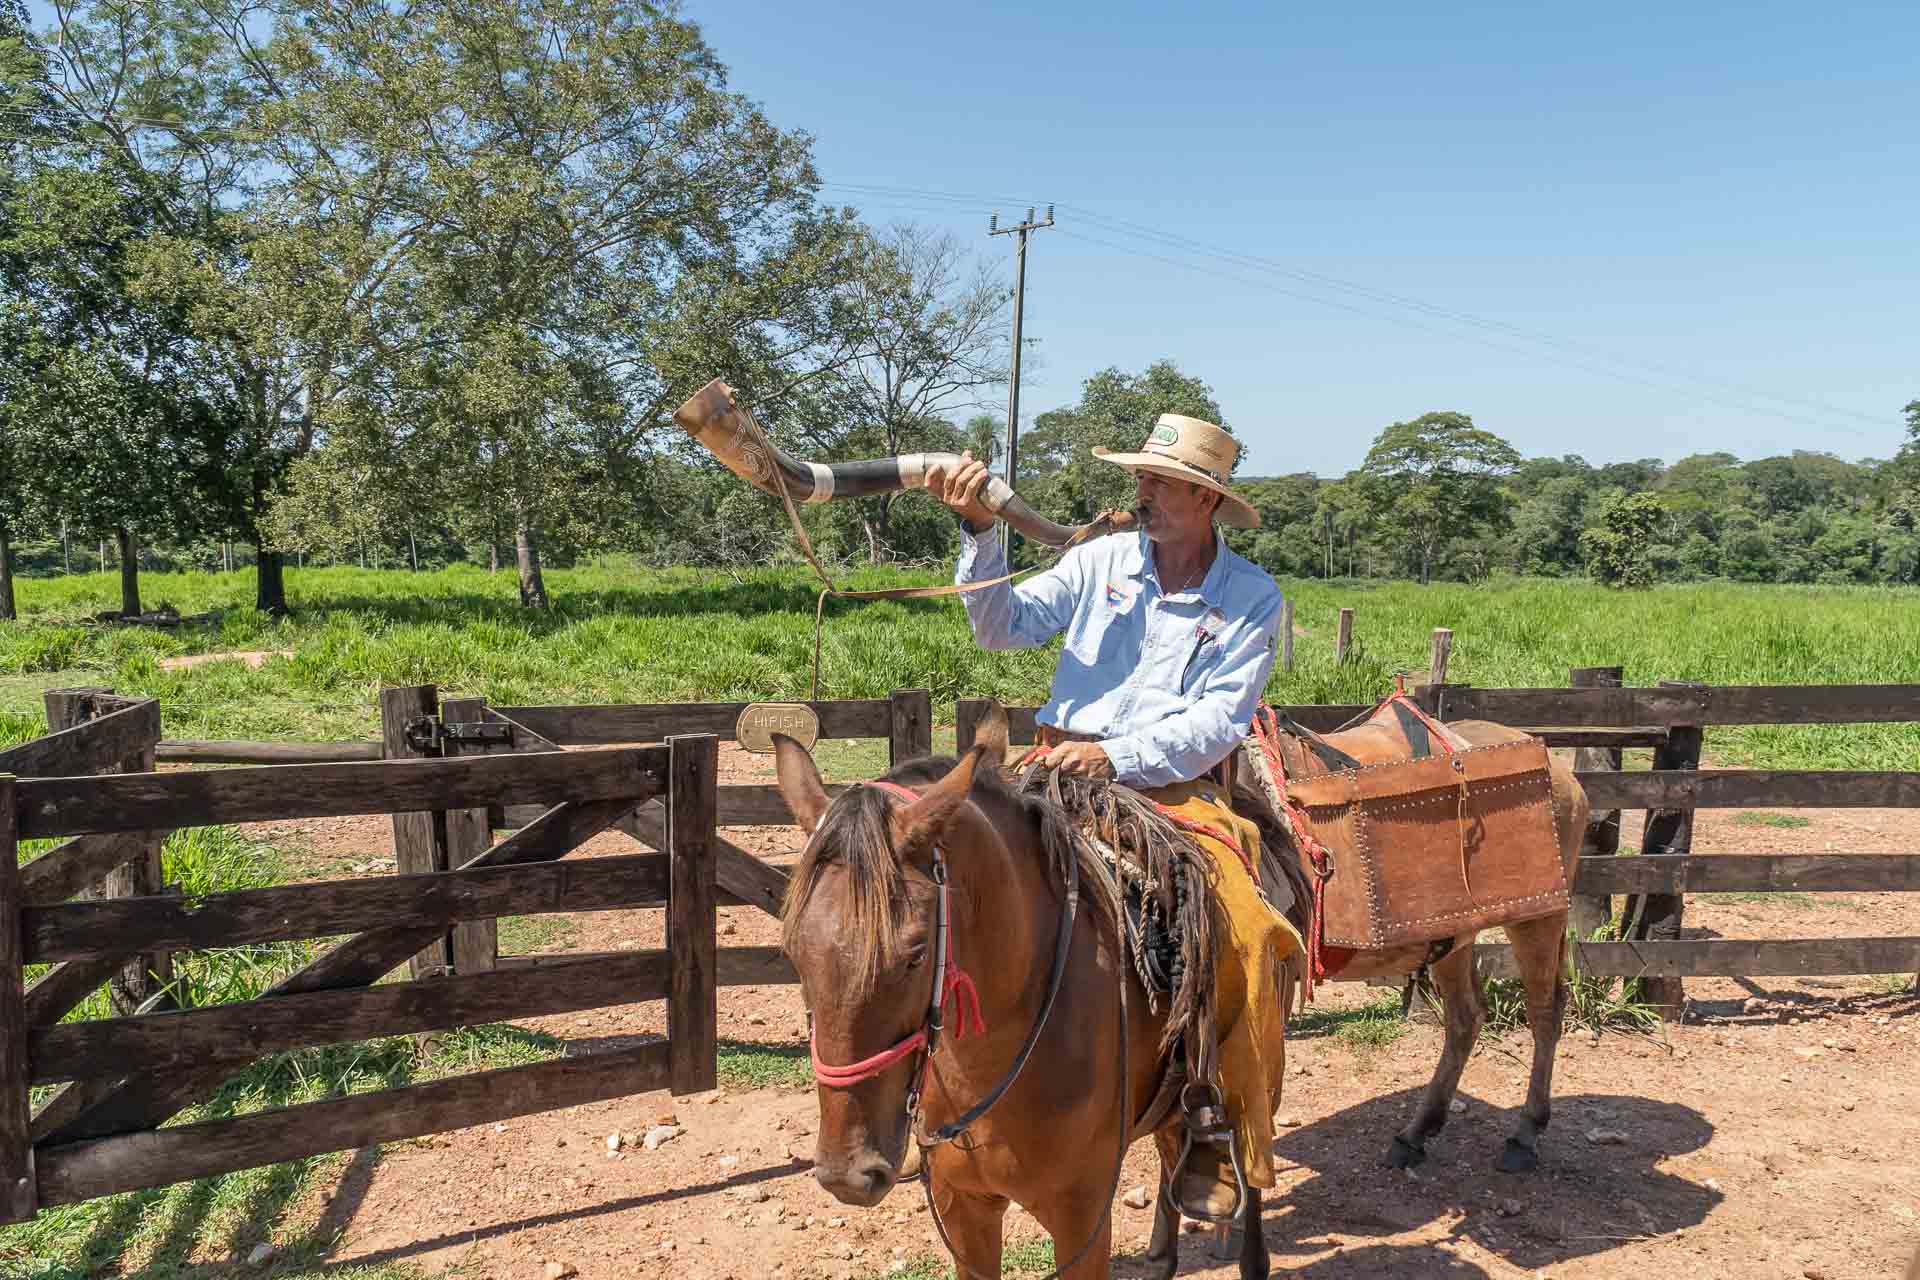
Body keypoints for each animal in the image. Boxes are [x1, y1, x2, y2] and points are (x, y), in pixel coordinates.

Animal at [775, 710, 1589, 1280]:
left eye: (915, 952)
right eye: (792, 951)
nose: (849, 1173)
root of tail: (1552, 758)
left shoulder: (1079, 1216)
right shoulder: (965, 1211)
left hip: (1535, 920)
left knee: (1543, 1014)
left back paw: (1524, 1133)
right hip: (1452, 943)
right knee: (1462, 1020)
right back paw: (1413, 1134)